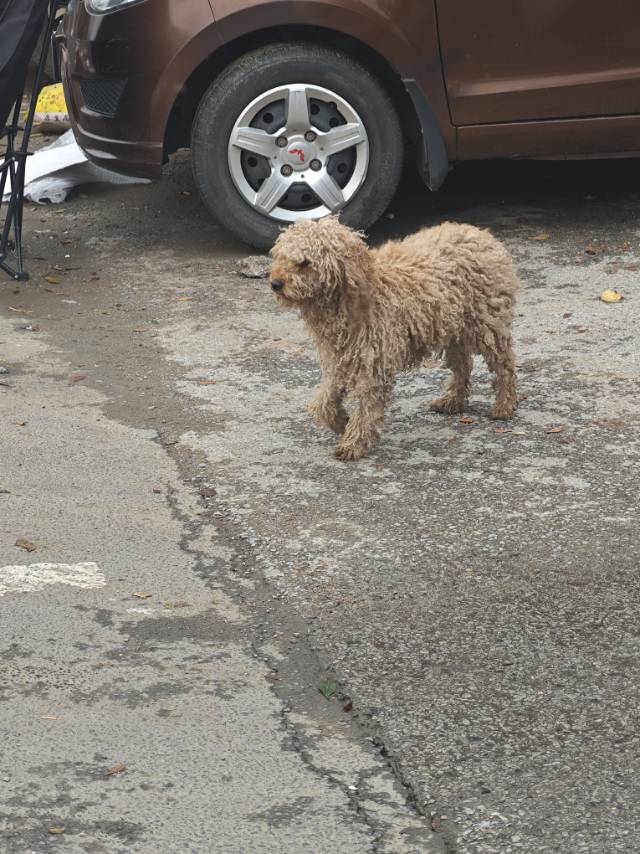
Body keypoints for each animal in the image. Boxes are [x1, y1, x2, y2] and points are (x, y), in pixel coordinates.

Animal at [270, 219, 520, 462]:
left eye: (305, 262)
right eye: (280, 256)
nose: (275, 283)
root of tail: (482, 234)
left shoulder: (373, 363)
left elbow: (367, 409)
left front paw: (354, 443)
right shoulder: (339, 360)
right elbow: (323, 404)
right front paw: (341, 421)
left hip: (487, 323)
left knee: (505, 364)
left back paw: (504, 405)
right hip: (452, 328)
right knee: (463, 365)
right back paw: (453, 401)